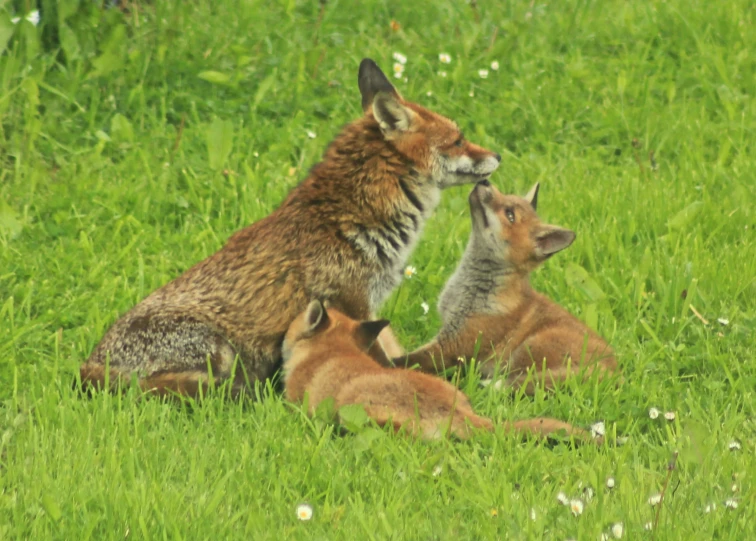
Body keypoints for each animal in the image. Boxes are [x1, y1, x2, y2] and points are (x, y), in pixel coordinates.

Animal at [81, 59, 502, 396]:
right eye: (459, 140)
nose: (498, 155)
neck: (354, 218)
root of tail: (87, 367)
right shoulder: (355, 302)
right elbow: (383, 361)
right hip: (218, 348)